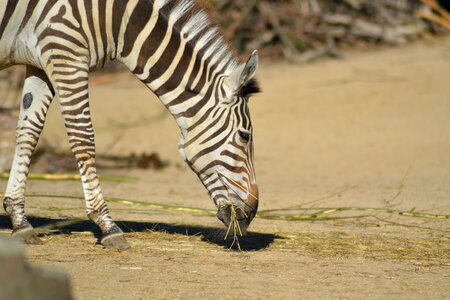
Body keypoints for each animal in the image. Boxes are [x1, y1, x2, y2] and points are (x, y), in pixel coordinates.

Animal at [0, 0, 260, 250]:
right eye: (244, 136)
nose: (252, 212)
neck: (118, 20)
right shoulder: (65, 52)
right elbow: (82, 136)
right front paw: (107, 225)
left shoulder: (41, 62)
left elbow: (28, 132)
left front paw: (19, 220)